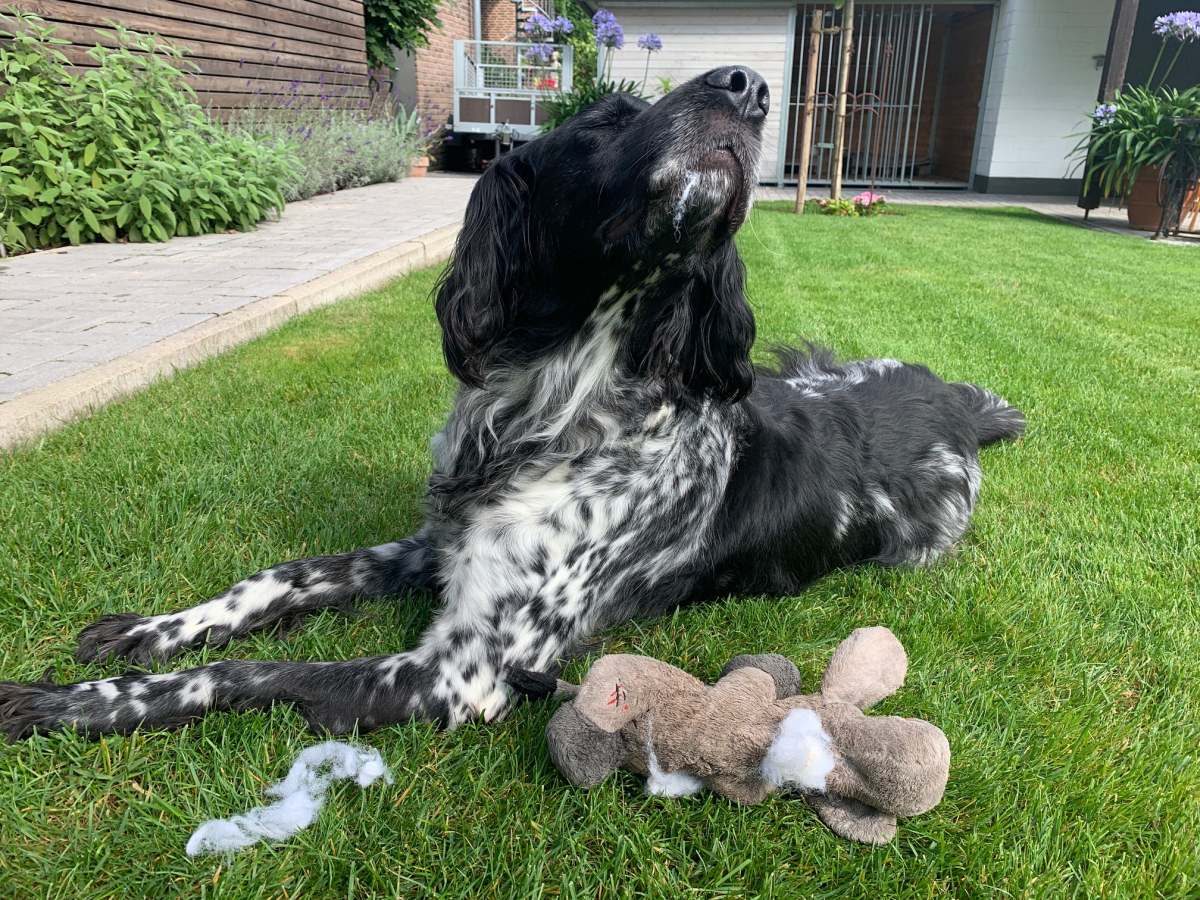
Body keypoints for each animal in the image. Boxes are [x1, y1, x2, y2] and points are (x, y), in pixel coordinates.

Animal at [0, 68, 1022, 739]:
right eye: (605, 119)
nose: (751, 85)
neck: (553, 409)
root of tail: (957, 407)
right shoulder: (434, 545)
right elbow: (279, 579)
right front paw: (148, 630)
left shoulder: (458, 674)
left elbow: (238, 672)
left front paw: (65, 704)